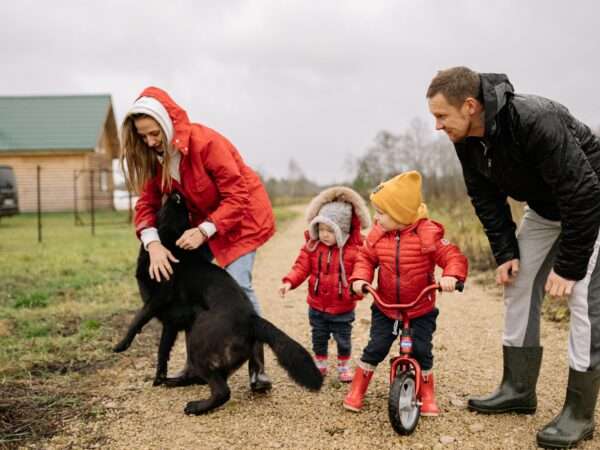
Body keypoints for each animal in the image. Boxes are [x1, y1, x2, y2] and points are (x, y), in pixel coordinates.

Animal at [115, 192, 326, 414]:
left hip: (198, 339)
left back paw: (196, 407)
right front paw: (159, 377)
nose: (177, 194)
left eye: (182, 207)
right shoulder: (170, 324)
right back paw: (176, 382)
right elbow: (162, 350)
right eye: (185, 212)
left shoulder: (157, 299)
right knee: (208, 379)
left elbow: (137, 319)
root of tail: (251, 318)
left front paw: (121, 344)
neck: (171, 245)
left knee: (222, 391)